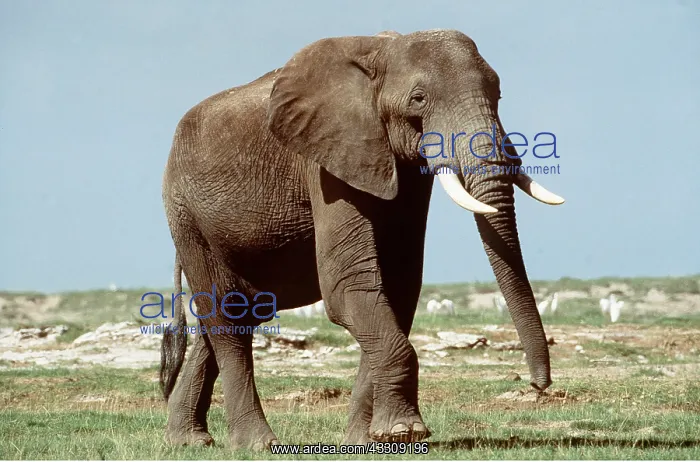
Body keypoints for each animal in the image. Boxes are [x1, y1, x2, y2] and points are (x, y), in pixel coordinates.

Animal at [160, 28, 565, 450]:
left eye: (498, 94)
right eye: (418, 99)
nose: (539, 384)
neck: (381, 52)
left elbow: (397, 286)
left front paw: (371, 439)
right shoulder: (327, 161)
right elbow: (348, 284)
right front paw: (405, 432)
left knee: (234, 315)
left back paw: (187, 441)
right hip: (188, 217)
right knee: (228, 319)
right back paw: (257, 444)